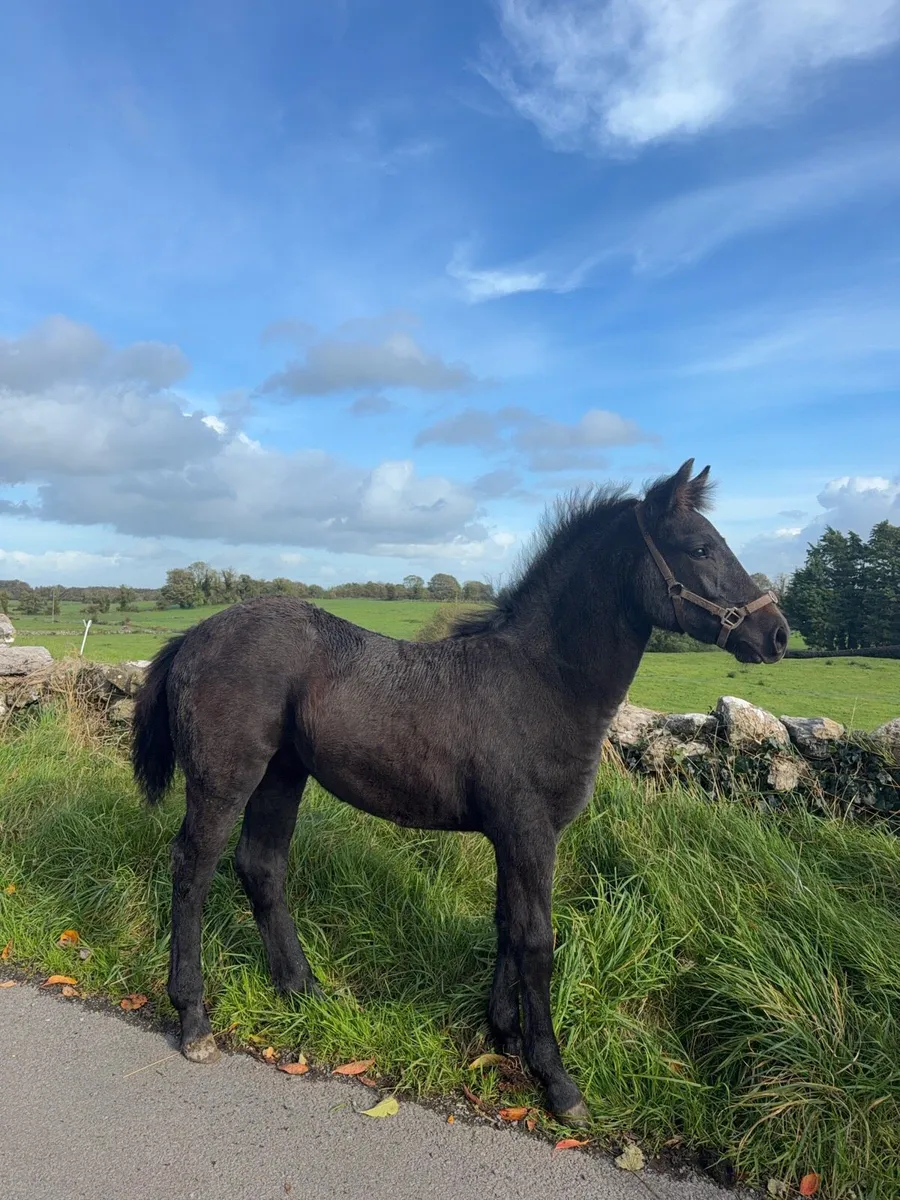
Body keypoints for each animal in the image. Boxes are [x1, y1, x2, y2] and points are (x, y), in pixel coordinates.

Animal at [132, 460, 789, 1123]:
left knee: (261, 866)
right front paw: (556, 1079)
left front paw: (503, 1034)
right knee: (193, 868)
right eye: (699, 548)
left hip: (282, 775)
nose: (777, 634)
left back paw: (304, 990)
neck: (541, 682)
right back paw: (194, 1019)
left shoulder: (512, 836)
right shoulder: (530, 832)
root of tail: (195, 633)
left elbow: (506, 925)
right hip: (224, 778)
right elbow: (536, 941)